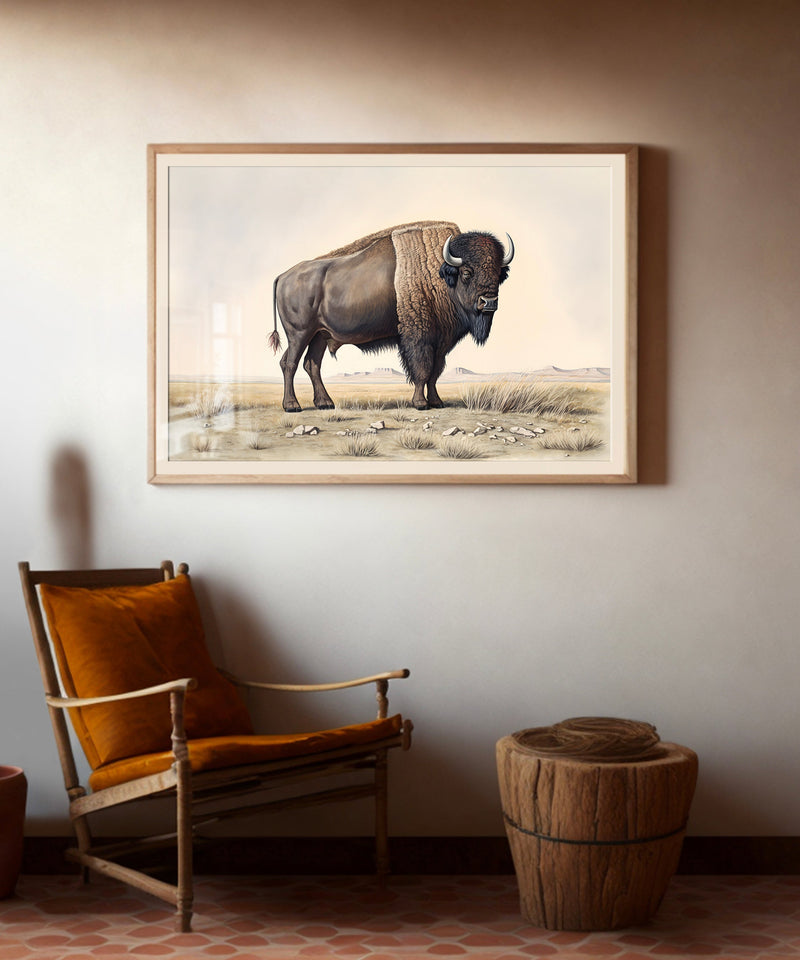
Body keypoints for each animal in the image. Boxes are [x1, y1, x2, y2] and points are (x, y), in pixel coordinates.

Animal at [269, 220, 514, 411]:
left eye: (498, 274)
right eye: (467, 272)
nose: (489, 302)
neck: (439, 273)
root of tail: (283, 276)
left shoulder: (442, 340)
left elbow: (435, 371)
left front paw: (437, 402)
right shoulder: (419, 336)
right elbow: (423, 369)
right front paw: (420, 403)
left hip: (319, 335)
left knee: (311, 364)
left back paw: (325, 403)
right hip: (299, 333)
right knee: (289, 363)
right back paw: (292, 406)